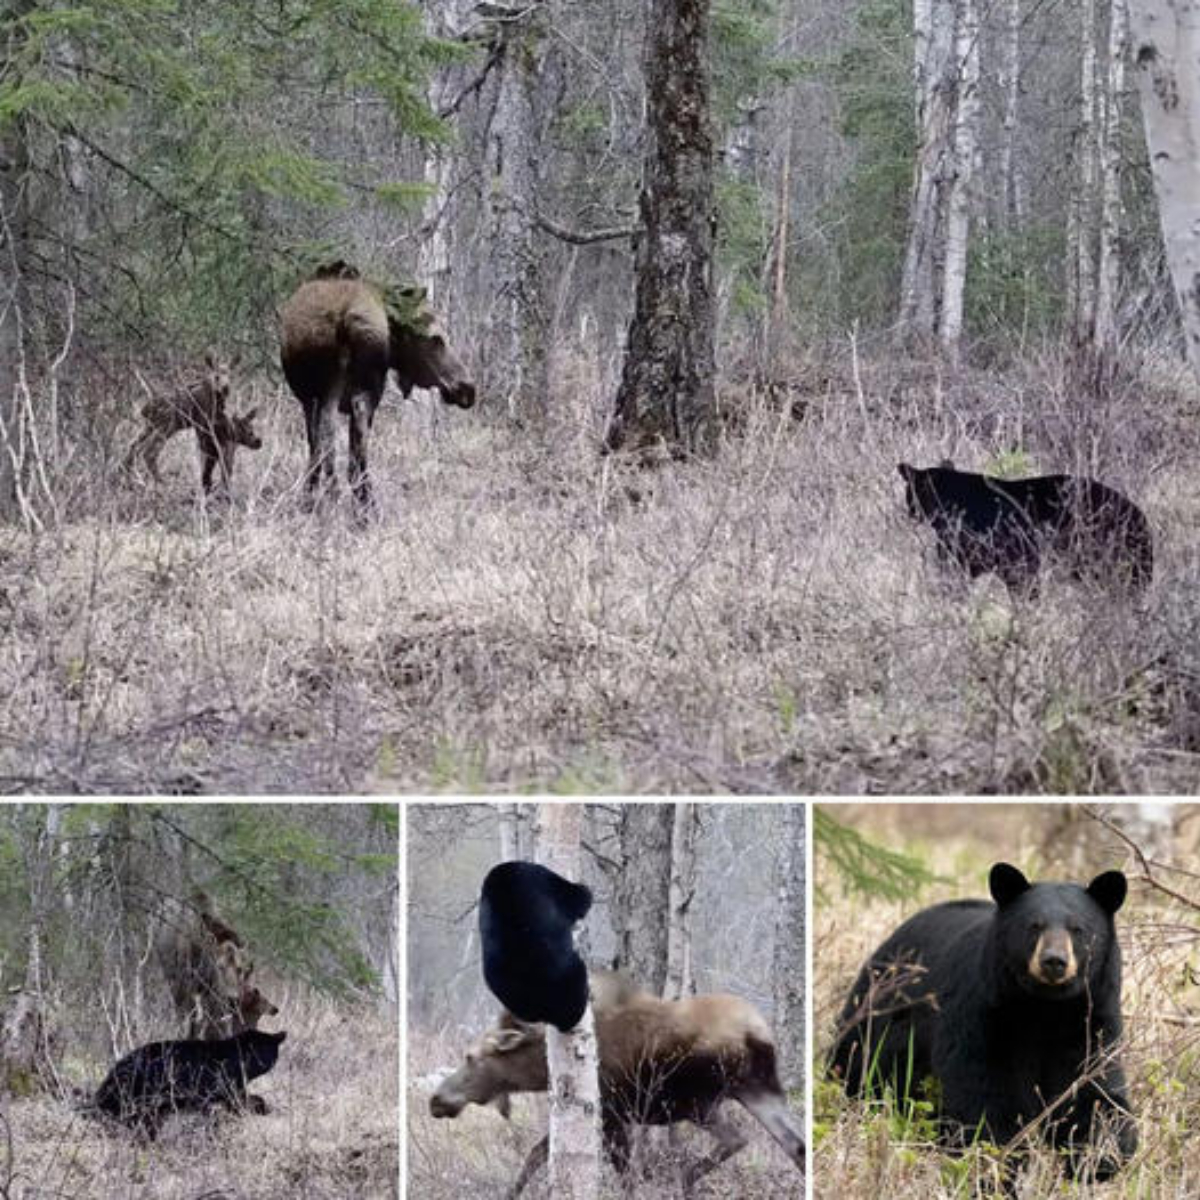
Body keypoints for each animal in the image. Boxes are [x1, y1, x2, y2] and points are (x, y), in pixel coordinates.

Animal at [93, 1027, 285, 1137]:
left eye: (269, 1052)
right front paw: (265, 1109)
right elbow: (245, 1101)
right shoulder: (225, 1090)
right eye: (257, 1051)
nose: (261, 1062)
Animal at [278, 262, 475, 511]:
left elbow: (313, 450)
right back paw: (359, 502)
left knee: (329, 444)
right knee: (345, 446)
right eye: (436, 338)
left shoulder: (306, 397)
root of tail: (343, 318)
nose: (468, 388)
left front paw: (308, 499)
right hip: (353, 387)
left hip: (326, 389)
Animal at [830, 864, 1137, 1180]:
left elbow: (1092, 1088)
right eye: (1034, 925)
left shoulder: (1089, 1018)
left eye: (1078, 929)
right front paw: (1002, 1164)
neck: (1044, 1008)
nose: (1054, 961)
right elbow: (982, 1090)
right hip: (878, 1015)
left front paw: (1101, 1156)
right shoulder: (982, 1012)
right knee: (859, 1062)